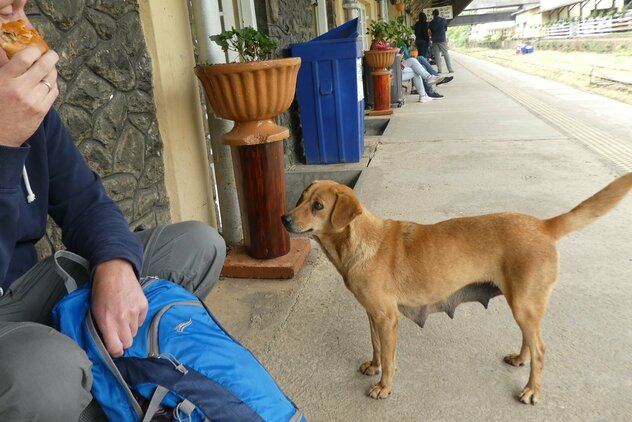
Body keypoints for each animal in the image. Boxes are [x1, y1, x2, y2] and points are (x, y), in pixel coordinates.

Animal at [282, 174, 632, 402]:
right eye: (301, 199)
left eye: (317, 205)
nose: (284, 219)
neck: (358, 240)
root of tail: (543, 225)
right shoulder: (373, 315)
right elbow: (377, 347)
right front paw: (374, 366)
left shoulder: (386, 318)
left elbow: (391, 358)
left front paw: (385, 386)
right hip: (523, 306)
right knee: (530, 342)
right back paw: (520, 359)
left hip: (524, 305)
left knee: (541, 350)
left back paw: (532, 389)